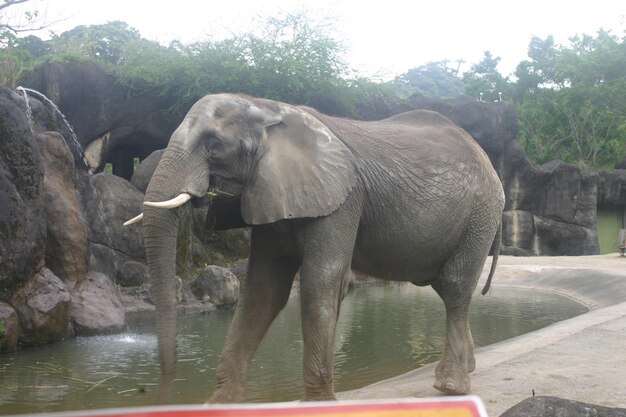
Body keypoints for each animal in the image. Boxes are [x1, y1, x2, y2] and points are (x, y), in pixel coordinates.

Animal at [127, 92, 502, 402]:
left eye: (214, 144)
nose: (163, 395)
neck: (267, 108)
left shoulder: (344, 199)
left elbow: (320, 282)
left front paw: (319, 403)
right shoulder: (271, 192)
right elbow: (263, 290)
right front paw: (219, 405)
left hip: (480, 213)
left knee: (454, 286)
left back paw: (450, 385)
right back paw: (465, 368)